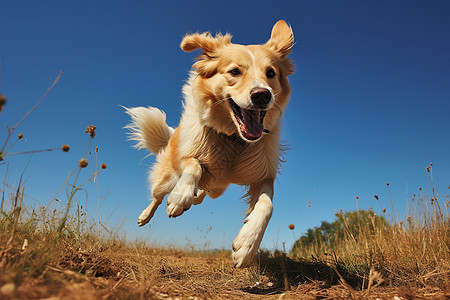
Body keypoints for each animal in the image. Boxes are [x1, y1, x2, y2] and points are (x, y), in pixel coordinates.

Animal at [125, 21, 296, 268]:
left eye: (271, 73)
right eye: (234, 71)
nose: (262, 95)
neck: (234, 139)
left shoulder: (262, 175)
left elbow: (267, 206)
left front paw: (247, 245)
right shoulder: (192, 154)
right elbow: (195, 165)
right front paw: (181, 197)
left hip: (218, 190)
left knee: (206, 192)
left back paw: (197, 196)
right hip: (167, 177)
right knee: (157, 195)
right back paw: (147, 214)